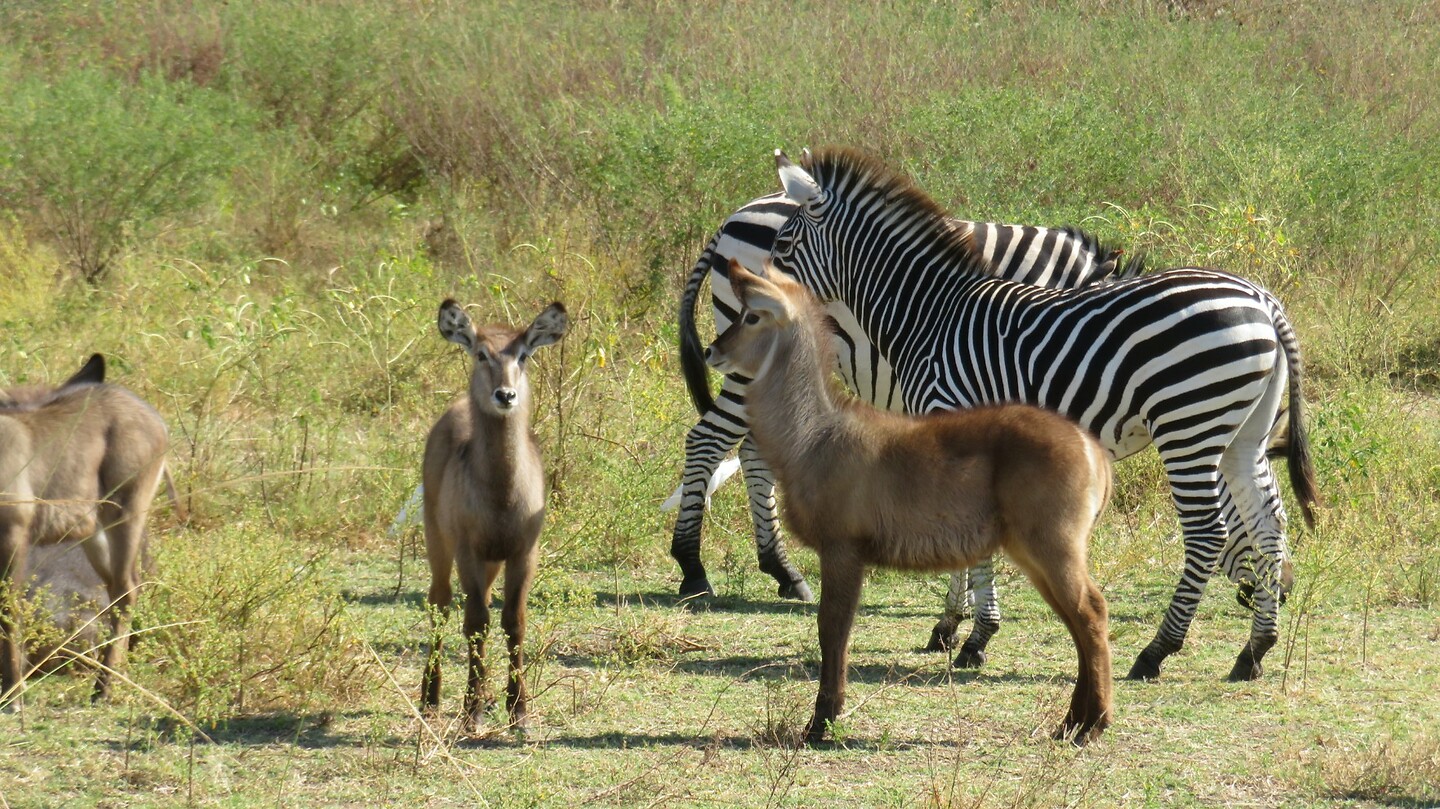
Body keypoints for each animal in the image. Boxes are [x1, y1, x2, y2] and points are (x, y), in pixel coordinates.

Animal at [763, 146, 1319, 681]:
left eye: (783, 248)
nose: (761, 303)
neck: (929, 315)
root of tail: (1263, 300)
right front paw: (954, 627)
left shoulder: (954, 414)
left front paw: (974, 637)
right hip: (1244, 434)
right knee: (1270, 522)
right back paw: (1255, 651)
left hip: (1188, 424)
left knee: (1208, 533)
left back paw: (1156, 652)